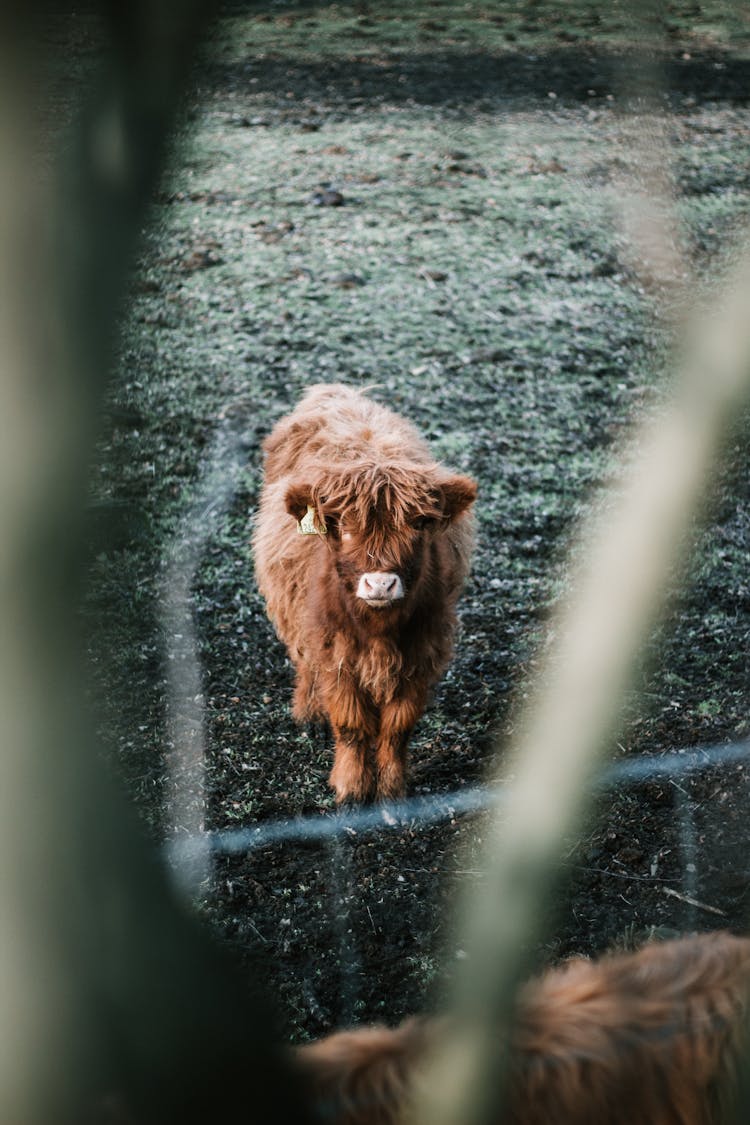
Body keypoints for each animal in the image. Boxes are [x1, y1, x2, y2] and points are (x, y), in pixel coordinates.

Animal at [251, 384, 474, 801]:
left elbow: (398, 726)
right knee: (304, 661)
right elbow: (351, 724)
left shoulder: (423, 649)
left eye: (420, 523)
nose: (380, 584)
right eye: (341, 524)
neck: (379, 631)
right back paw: (309, 713)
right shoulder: (335, 651)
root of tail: (332, 390)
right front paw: (351, 788)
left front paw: (391, 788)